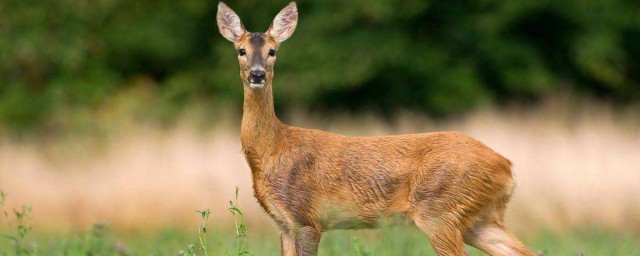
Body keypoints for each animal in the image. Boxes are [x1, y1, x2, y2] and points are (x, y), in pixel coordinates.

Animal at [215, 2, 536, 256]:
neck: (272, 150)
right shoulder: (284, 225)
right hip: (479, 219)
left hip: (440, 211)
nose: (257, 75)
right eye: (241, 50)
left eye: (273, 51)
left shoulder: (306, 218)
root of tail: (507, 167)